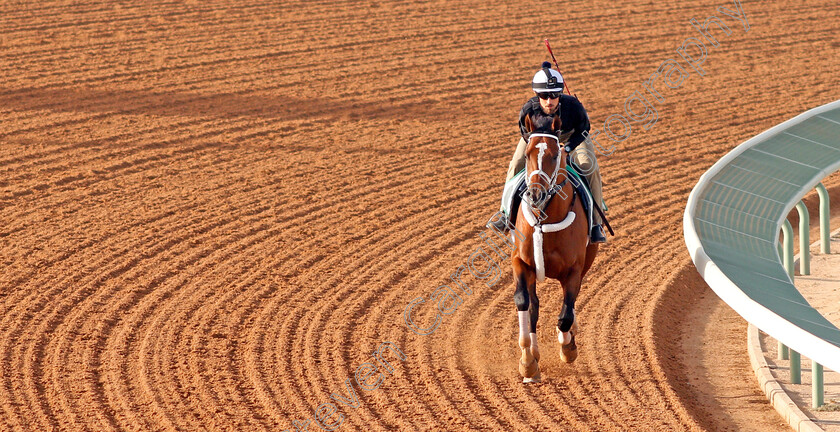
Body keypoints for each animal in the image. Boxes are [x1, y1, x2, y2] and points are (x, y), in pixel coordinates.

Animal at [512, 114, 596, 382]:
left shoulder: (574, 270)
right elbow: (524, 302)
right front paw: (527, 362)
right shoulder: (521, 262)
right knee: (535, 304)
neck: (544, 220)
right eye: (529, 152)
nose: (535, 195)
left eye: (553, 153)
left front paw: (568, 347)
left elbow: (565, 316)